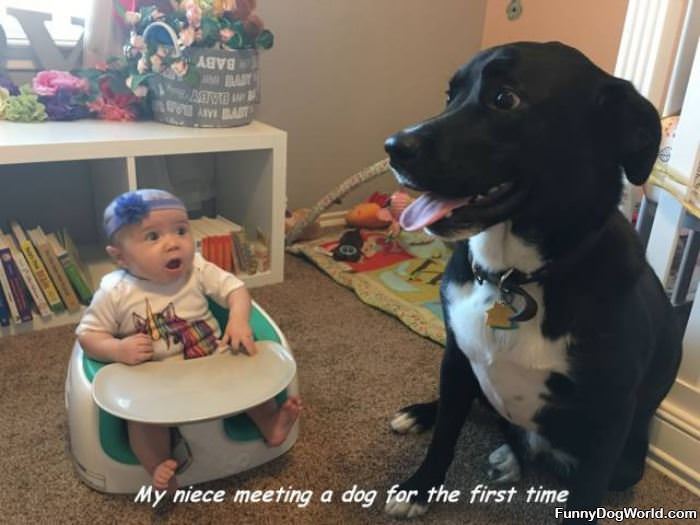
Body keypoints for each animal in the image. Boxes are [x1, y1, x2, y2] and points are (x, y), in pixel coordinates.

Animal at [382, 43, 684, 520]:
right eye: (450, 94)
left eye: (505, 99)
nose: (393, 147)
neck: (515, 276)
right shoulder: (456, 355)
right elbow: (445, 435)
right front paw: (418, 488)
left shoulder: (609, 416)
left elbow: (586, 494)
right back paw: (424, 417)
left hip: (627, 464)